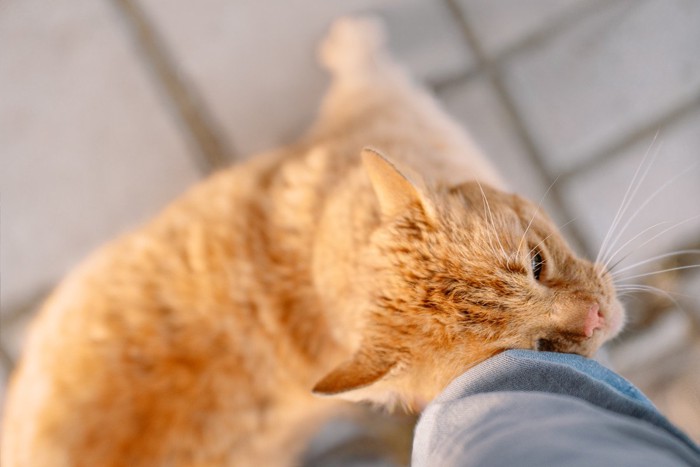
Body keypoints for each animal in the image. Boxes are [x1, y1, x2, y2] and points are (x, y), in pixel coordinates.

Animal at [0, 16, 624, 466]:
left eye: (537, 264)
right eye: (534, 349)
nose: (596, 317)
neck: (311, 269)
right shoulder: (371, 92)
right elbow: (359, 58)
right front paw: (353, 39)